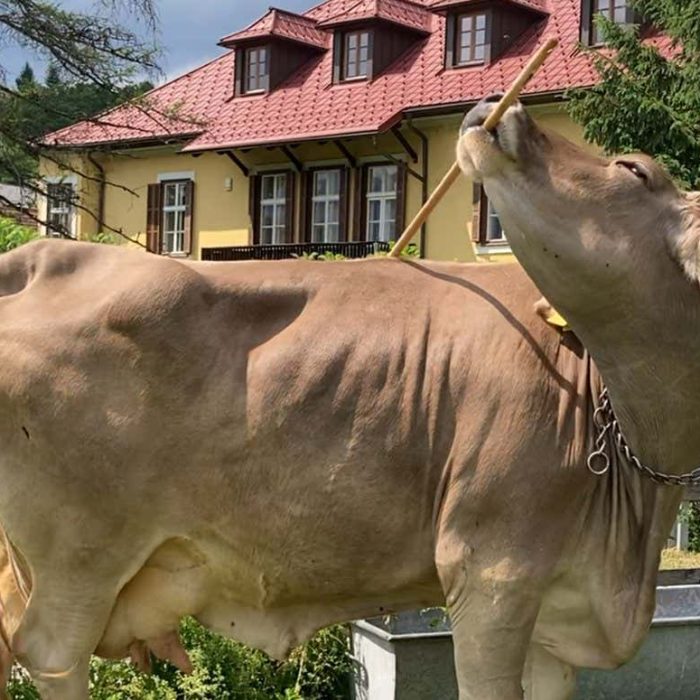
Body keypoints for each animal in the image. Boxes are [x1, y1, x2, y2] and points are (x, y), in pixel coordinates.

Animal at [0, 104, 696, 696]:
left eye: (632, 169)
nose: (511, 112)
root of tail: (40, 253)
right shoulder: (492, 572)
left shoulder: (559, 613)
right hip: (80, 557)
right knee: (52, 655)